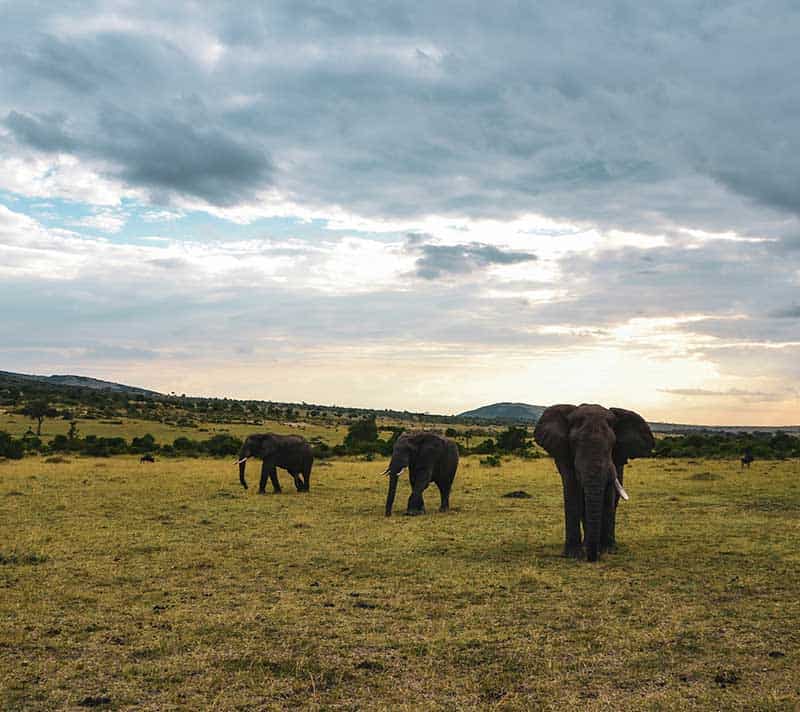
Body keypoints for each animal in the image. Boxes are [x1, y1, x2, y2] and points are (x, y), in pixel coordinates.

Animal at [534, 404, 654, 561]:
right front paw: (573, 554)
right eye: (573, 443)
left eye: (613, 444)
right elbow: (573, 493)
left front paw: (607, 550)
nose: (592, 558)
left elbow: (608, 498)